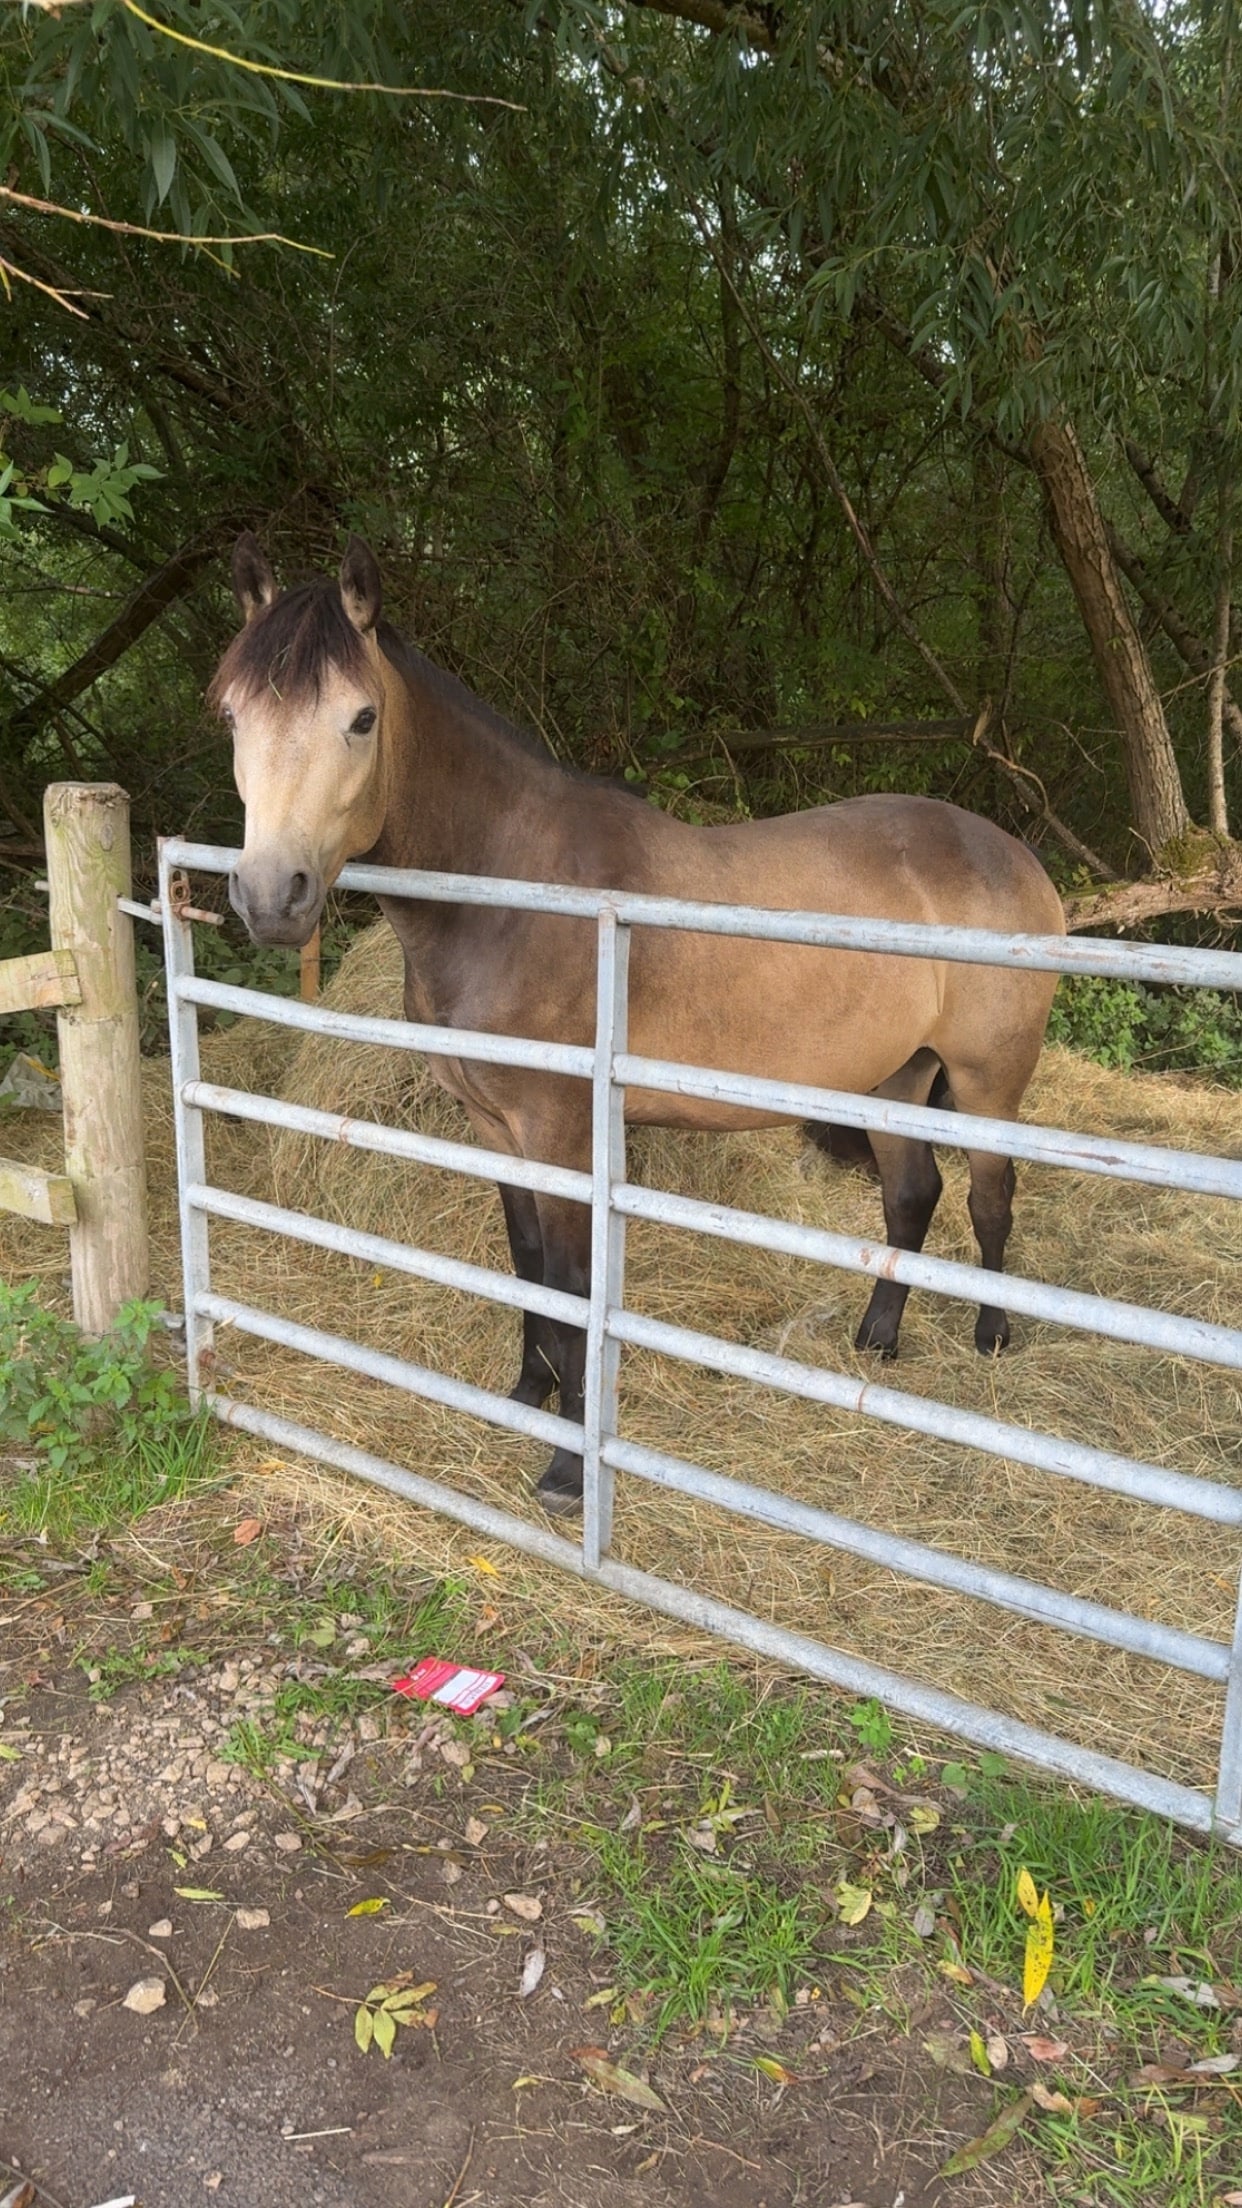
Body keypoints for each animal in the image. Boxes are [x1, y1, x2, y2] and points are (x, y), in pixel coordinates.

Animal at [212, 533, 1065, 1514]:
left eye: (360, 719)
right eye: (232, 717)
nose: (271, 898)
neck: (513, 891)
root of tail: (1014, 856)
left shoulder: (562, 1132)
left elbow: (575, 1282)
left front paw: (567, 1469)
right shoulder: (493, 1127)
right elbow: (529, 1263)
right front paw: (528, 1392)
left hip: (988, 1081)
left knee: (989, 1199)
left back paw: (992, 1337)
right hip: (895, 1076)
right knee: (911, 1196)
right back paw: (876, 1339)